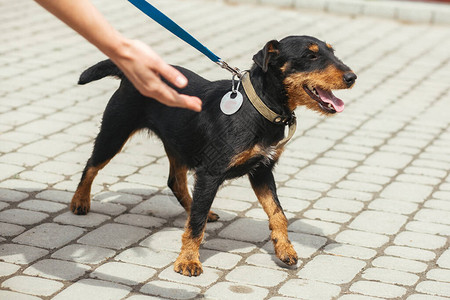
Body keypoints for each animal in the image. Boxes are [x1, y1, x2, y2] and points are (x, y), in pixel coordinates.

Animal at [70, 35, 356, 276]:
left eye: (332, 52)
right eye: (310, 56)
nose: (352, 77)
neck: (258, 108)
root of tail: (130, 74)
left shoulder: (262, 170)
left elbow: (277, 213)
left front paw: (284, 249)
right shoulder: (211, 173)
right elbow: (196, 226)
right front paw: (188, 260)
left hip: (178, 143)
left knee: (176, 182)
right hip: (115, 132)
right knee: (91, 166)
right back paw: (80, 201)